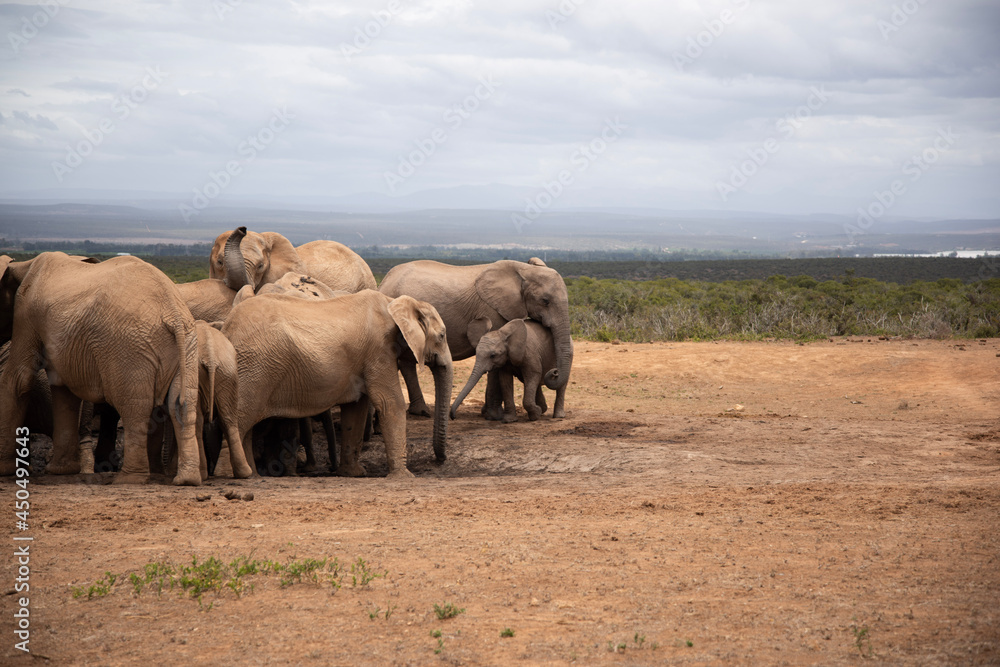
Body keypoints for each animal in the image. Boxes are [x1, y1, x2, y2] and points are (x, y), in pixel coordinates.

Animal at [0, 252, 245, 485]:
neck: (22, 265)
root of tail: (173, 314)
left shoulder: (26, 312)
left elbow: (19, 379)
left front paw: (6, 471)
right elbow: (63, 390)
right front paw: (61, 471)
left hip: (130, 348)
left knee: (134, 406)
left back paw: (129, 479)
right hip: (186, 345)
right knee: (181, 403)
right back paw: (187, 480)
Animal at [221, 290, 452, 477]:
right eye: (441, 336)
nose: (440, 460)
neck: (395, 302)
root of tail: (227, 327)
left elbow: (356, 410)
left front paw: (353, 473)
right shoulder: (379, 350)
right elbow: (390, 403)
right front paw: (404, 477)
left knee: (246, 424)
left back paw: (252, 475)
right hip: (255, 365)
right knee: (239, 419)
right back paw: (237, 475)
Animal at [379, 258, 572, 421]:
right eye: (545, 301)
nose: (554, 372)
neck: (524, 270)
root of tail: (383, 281)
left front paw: (488, 413)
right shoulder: (493, 309)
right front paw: (494, 416)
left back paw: (419, 411)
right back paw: (422, 412)